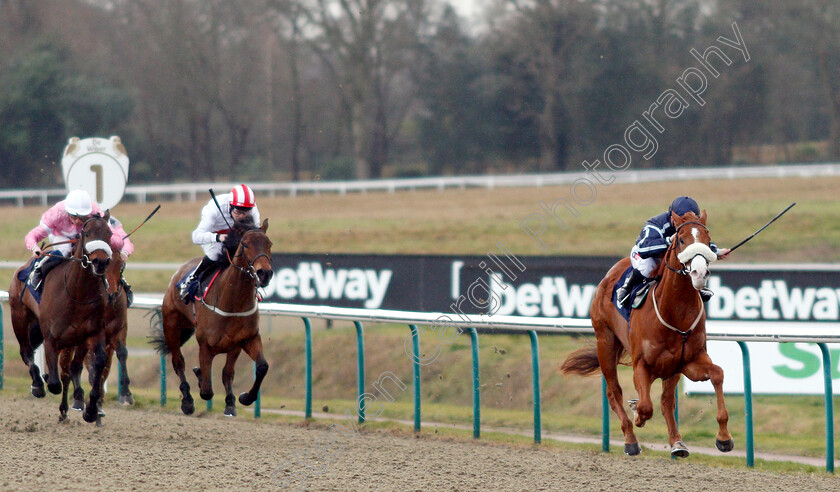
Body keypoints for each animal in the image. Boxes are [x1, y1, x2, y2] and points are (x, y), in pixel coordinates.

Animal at [8, 211, 115, 422]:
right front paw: (45, 381)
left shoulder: (92, 332)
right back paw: (38, 384)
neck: (77, 293)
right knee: (26, 352)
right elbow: (55, 383)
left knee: (68, 367)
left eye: (109, 234)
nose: (100, 262)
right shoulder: (51, 337)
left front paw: (91, 410)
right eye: (87, 233)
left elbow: (97, 361)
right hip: (20, 317)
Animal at [149, 221, 270, 418]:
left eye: (269, 244)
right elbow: (206, 390)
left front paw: (240, 399)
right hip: (172, 326)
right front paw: (199, 383)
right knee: (178, 362)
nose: (265, 273)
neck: (232, 301)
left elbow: (257, 368)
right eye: (245, 245)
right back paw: (187, 401)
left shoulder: (244, 340)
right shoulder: (205, 344)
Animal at [560, 210, 732, 458]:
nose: (699, 273)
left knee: (666, 401)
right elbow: (644, 406)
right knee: (614, 392)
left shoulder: (688, 361)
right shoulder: (641, 363)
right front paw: (637, 416)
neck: (675, 312)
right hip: (605, 342)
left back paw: (677, 443)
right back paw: (631, 440)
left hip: (670, 369)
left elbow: (717, 374)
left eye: (708, 240)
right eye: (681, 240)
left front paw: (724, 437)